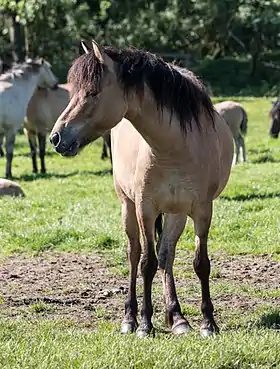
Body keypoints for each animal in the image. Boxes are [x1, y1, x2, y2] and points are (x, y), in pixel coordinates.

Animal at [50, 40, 234, 336]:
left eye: (92, 92)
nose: (56, 137)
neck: (175, 148)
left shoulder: (202, 210)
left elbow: (200, 263)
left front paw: (208, 323)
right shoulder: (144, 209)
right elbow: (146, 263)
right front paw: (145, 324)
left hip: (176, 213)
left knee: (166, 255)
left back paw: (177, 318)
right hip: (128, 206)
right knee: (134, 254)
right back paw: (130, 318)